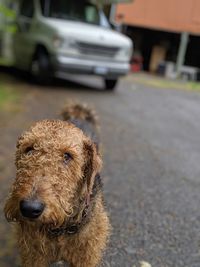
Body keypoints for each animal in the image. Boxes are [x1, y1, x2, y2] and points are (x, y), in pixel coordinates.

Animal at [3, 103, 110, 267]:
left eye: (68, 156)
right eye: (29, 149)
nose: (30, 208)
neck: (61, 228)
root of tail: (79, 115)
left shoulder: (85, 256)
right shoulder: (34, 256)